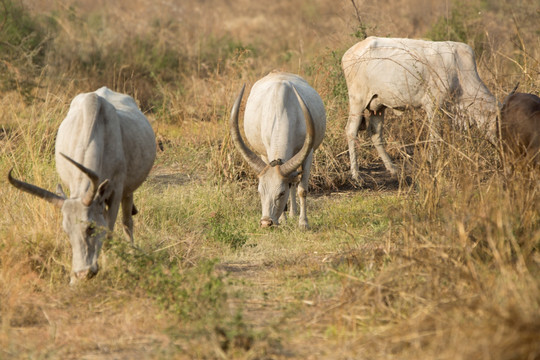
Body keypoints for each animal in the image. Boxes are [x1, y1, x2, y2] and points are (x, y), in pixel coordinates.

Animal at [8, 87, 156, 284]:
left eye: (90, 227)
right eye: (66, 231)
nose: (82, 273)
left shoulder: (116, 191)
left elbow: (110, 231)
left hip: (128, 191)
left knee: (127, 222)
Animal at [229, 71, 324, 229]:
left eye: (281, 193)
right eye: (260, 192)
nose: (266, 222)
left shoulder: (308, 153)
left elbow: (302, 189)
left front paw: (303, 223)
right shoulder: (266, 153)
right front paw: (283, 220)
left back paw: (294, 214)